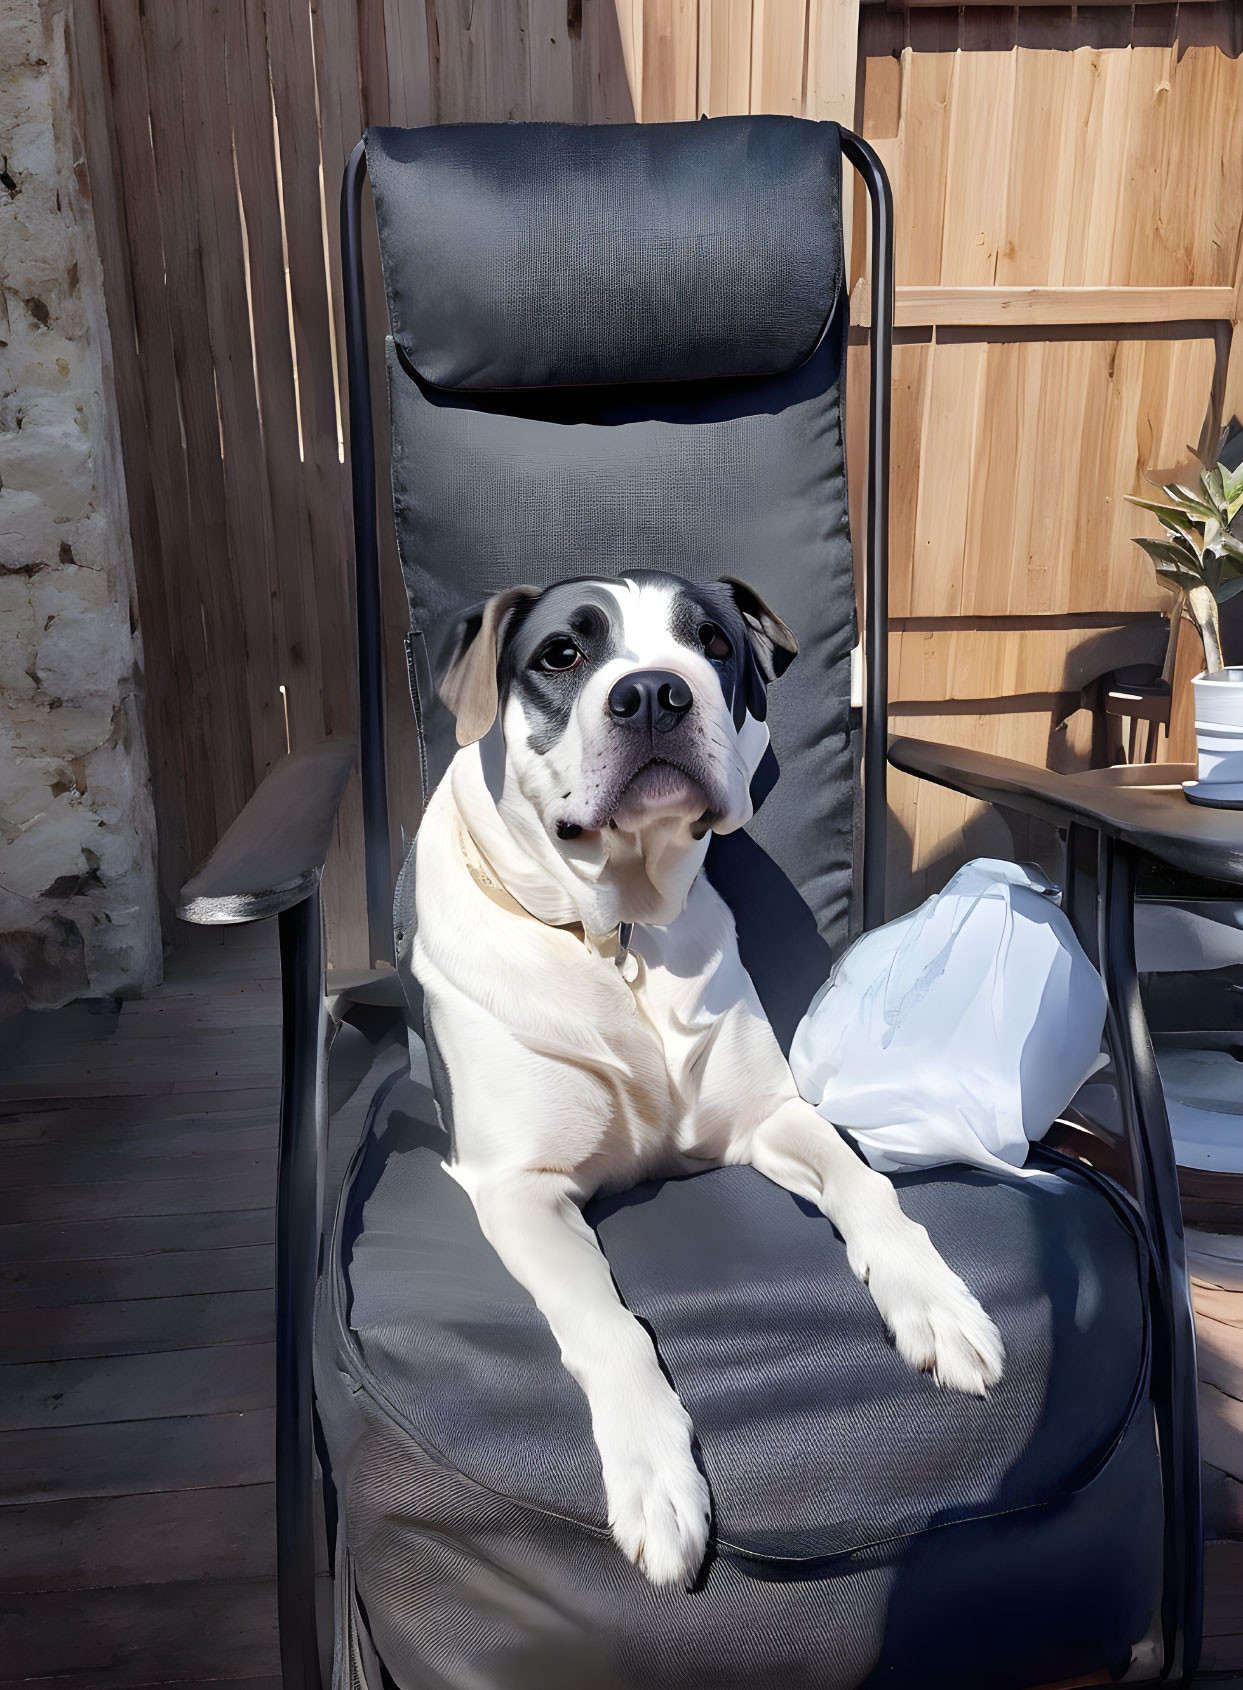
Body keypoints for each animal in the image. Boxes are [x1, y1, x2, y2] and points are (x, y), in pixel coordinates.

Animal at [412, 574, 1006, 1588]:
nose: (655, 691)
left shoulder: (770, 1116)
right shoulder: (519, 1187)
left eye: (712, 642)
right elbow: (608, 1321)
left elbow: (868, 1186)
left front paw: (935, 1303)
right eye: (562, 654)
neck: (618, 936)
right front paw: (656, 1478)